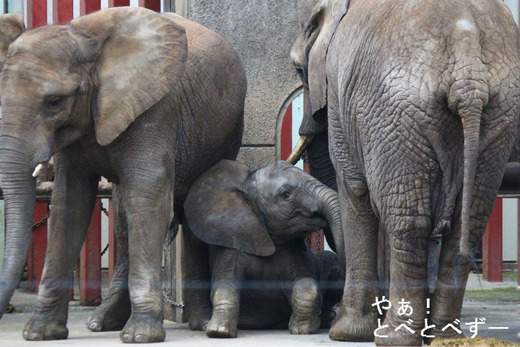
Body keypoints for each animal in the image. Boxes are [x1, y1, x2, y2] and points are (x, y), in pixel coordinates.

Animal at [0, 7, 246, 346]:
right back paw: (101, 322)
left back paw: (202, 324)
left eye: (54, 102)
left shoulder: (156, 110)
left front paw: (141, 335)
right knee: (123, 220)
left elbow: (148, 201)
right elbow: (69, 205)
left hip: (225, 134)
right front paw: (40, 332)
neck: (86, 43)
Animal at [184, 162, 346, 338]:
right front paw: (219, 332)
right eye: (286, 194)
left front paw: (303, 330)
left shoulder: (297, 251)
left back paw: (329, 318)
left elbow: (305, 285)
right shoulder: (234, 243)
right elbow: (225, 284)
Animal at [290, 0, 520, 346]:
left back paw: (392, 337)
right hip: (497, 115)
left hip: (395, 113)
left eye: (298, 69)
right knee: (466, 221)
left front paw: (346, 332)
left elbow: (355, 190)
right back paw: (442, 334)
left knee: (408, 222)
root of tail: (466, 51)